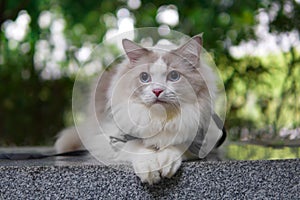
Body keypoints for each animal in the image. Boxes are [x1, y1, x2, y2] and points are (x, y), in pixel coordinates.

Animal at [55, 34, 226, 184]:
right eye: (144, 77)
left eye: (174, 76)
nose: (157, 91)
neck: (159, 120)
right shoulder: (113, 138)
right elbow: (138, 147)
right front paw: (150, 168)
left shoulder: (202, 138)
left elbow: (176, 145)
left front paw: (165, 160)